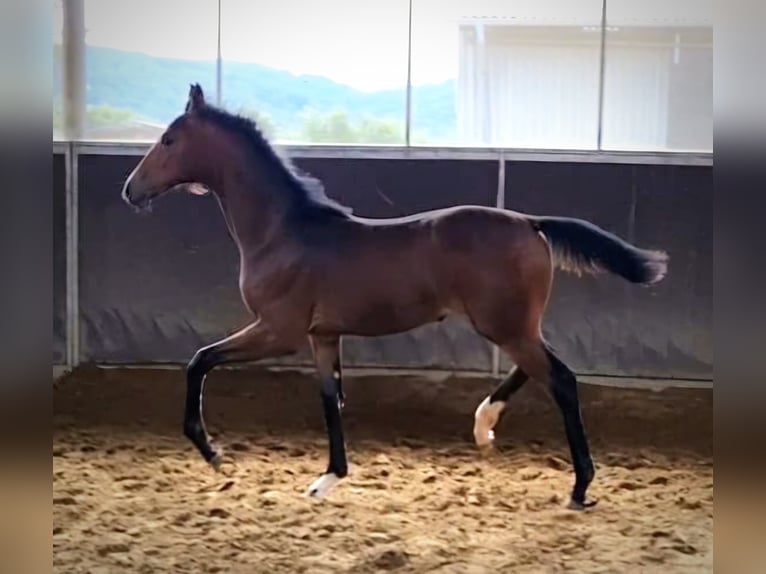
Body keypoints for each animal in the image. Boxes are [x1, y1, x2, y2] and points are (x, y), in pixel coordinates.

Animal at [121, 83, 668, 510]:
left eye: (169, 139)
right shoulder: (323, 336)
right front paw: (328, 479)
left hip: (503, 324)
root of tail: (530, 223)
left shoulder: (278, 331)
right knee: (538, 369)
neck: (282, 233)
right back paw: (484, 426)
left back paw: (579, 486)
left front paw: (211, 451)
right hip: (513, 323)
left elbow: (200, 360)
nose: (130, 190)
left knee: (562, 380)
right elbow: (330, 399)